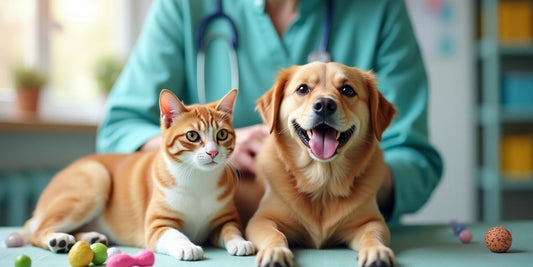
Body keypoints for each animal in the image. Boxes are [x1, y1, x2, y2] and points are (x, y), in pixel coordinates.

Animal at [18, 89, 254, 260]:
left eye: (222, 134)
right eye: (192, 136)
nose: (212, 152)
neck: (197, 179)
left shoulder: (226, 219)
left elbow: (231, 229)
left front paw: (240, 242)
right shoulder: (157, 225)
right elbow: (175, 234)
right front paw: (187, 246)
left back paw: (89, 237)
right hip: (95, 179)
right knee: (37, 233)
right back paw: (58, 240)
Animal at [245, 61, 394, 266]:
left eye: (347, 90)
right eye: (302, 89)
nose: (324, 105)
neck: (323, 184)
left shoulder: (370, 221)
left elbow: (373, 234)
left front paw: (377, 250)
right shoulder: (261, 219)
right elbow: (274, 234)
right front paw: (275, 251)